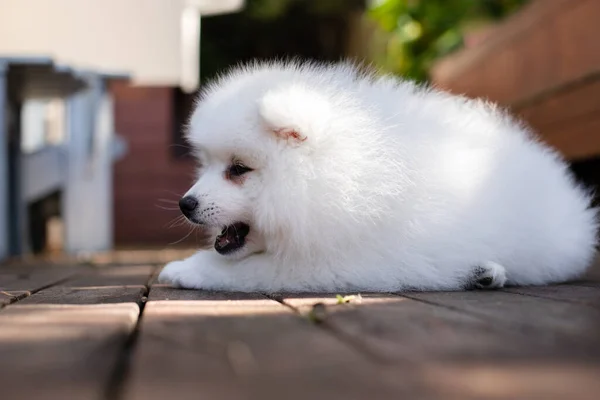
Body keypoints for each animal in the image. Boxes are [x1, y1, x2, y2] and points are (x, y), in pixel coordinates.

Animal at [157, 61, 596, 292]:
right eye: (206, 164)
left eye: (238, 169)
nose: (185, 203)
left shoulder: (344, 261)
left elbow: (249, 271)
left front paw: (185, 269)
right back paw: (482, 273)